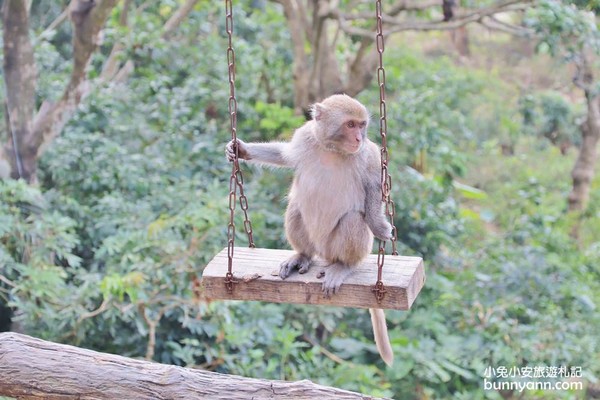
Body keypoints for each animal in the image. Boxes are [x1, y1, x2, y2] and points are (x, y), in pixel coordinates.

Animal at [225, 93, 394, 366]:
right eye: (350, 125)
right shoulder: (304, 137)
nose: (359, 138)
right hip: (314, 241)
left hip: (335, 246)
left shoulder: (369, 157)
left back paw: (344, 266)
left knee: (352, 221)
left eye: (362, 125)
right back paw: (301, 256)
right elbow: (285, 155)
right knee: (295, 208)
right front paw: (241, 149)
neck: (332, 148)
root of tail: (323, 252)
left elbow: (372, 191)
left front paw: (379, 225)